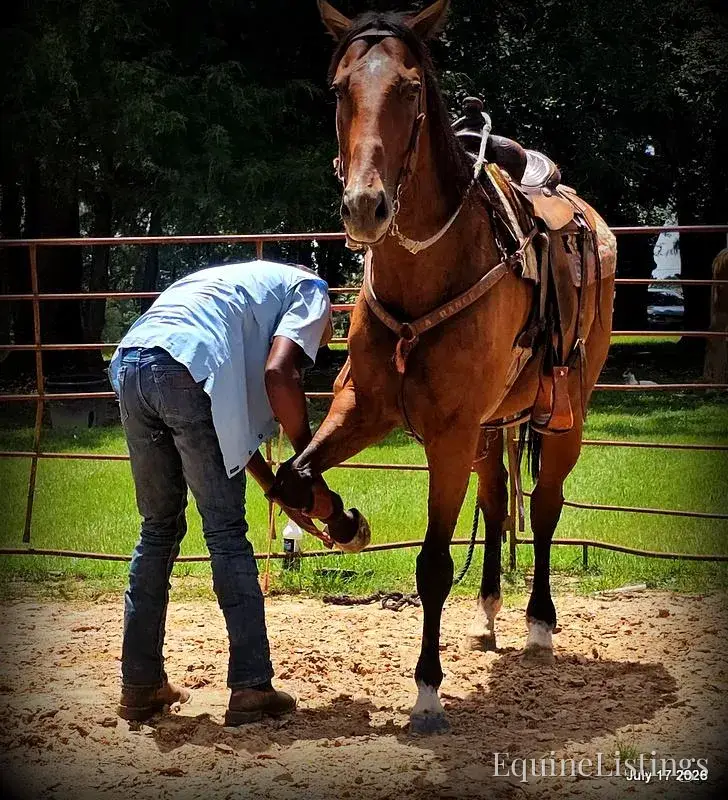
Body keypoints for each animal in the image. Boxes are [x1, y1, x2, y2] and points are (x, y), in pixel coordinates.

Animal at [271, 0, 617, 734]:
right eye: (339, 88)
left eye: (408, 88)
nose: (364, 206)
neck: (430, 270)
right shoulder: (365, 409)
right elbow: (293, 474)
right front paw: (341, 523)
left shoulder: (449, 436)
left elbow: (432, 563)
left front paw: (427, 692)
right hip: (492, 426)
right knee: (498, 499)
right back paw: (487, 613)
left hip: (564, 415)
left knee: (544, 508)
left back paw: (538, 622)